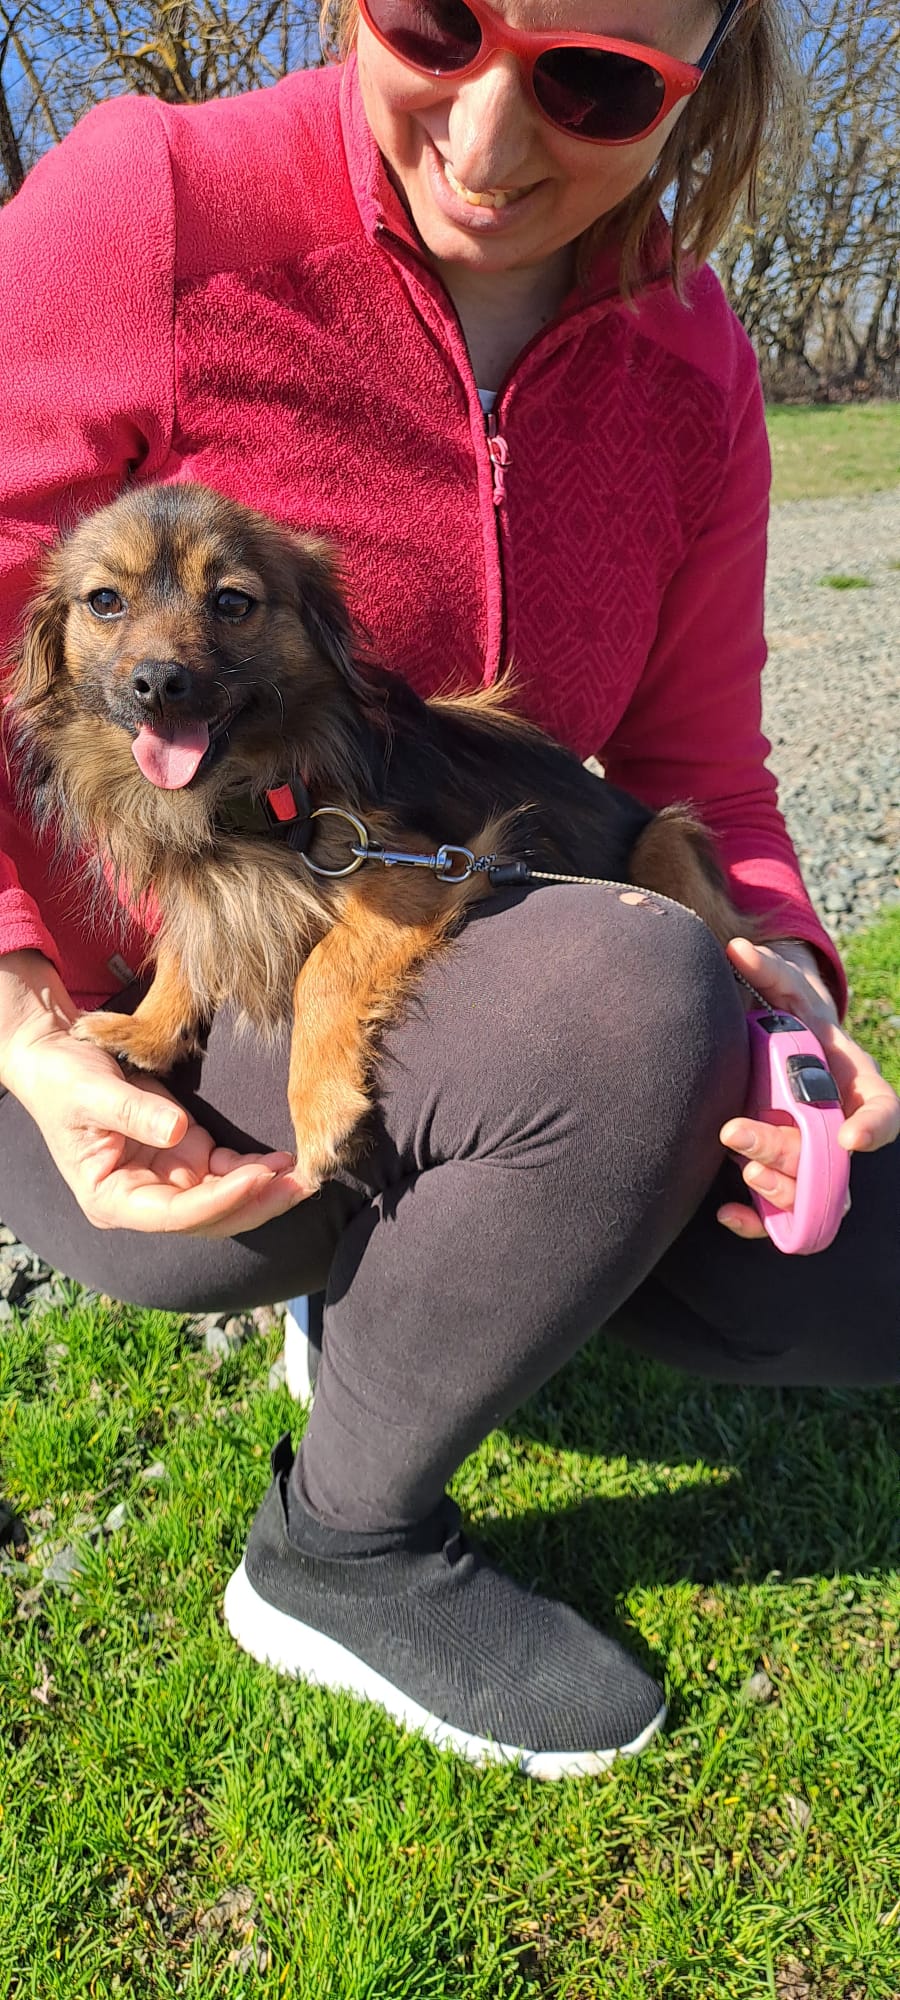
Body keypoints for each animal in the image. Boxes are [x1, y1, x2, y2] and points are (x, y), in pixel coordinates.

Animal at [8, 481, 758, 1186]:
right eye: (105, 601)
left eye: (232, 603)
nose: (159, 683)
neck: (245, 797)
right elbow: (185, 940)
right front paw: (148, 1028)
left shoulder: (430, 866)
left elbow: (323, 968)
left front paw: (319, 1110)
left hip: (668, 835)